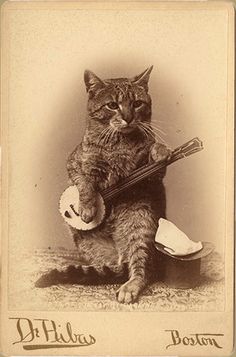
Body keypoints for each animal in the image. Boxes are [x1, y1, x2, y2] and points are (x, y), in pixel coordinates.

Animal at [35, 65, 170, 302]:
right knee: (106, 268)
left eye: (137, 103)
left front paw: (160, 150)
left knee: (142, 269)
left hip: (141, 225)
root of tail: (120, 256)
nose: (127, 118)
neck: (120, 143)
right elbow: (85, 183)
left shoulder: (152, 178)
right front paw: (87, 208)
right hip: (87, 244)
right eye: (113, 105)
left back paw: (129, 286)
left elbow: (154, 153)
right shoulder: (74, 164)